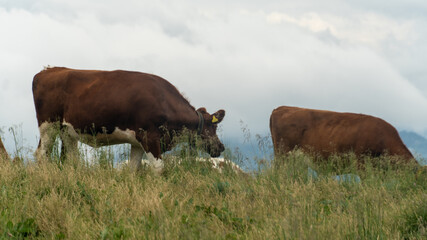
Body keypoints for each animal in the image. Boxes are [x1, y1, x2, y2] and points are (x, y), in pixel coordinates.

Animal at [32, 67, 227, 172]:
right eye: (213, 127)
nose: (221, 147)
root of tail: (49, 70)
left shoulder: (137, 142)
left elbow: (133, 170)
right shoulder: (150, 138)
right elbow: (159, 169)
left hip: (67, 130)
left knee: (71, 158)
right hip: (48, 124)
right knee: (42, 154)